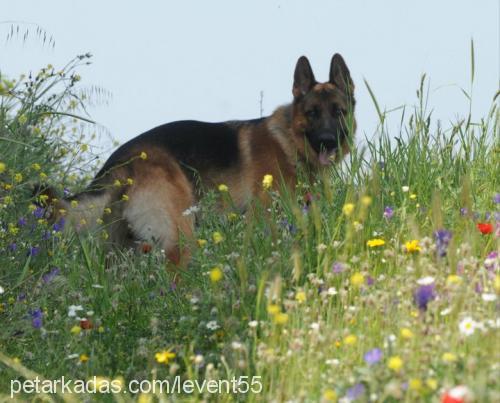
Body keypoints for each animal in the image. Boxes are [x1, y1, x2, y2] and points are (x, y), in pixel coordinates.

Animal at [43, 53, 356, 266]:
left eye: (338, 111)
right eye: (312, 113)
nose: (327, 140)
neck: (289, 140)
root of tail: (123, 159)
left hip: (120, 247)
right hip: (180, 235)